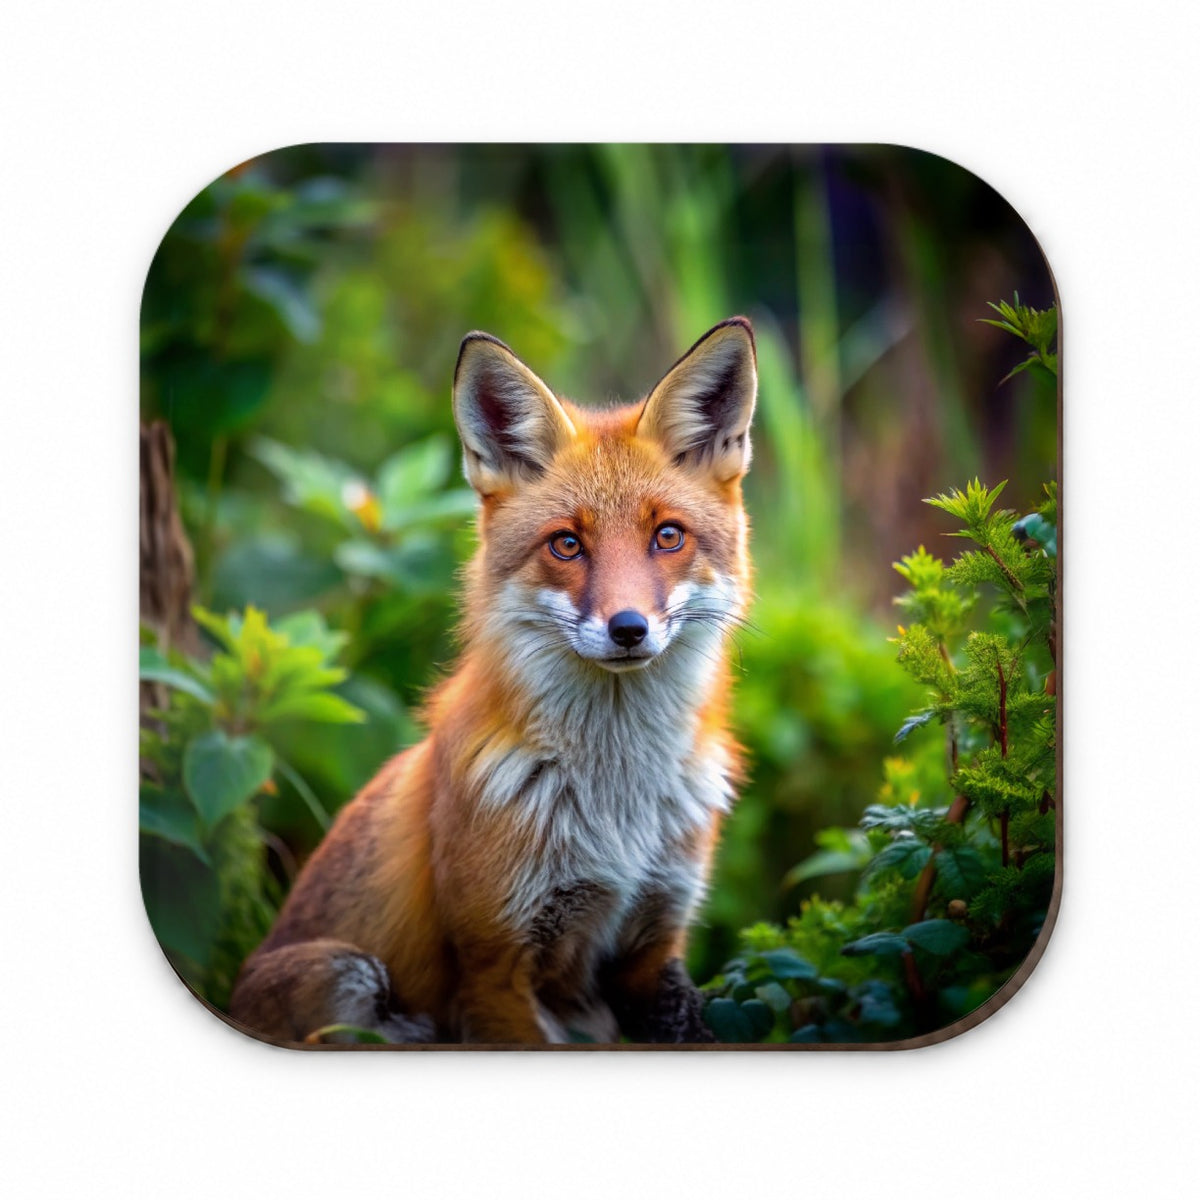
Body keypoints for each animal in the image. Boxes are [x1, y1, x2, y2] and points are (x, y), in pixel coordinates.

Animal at [228, 316, 758, 1045]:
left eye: (668, 536)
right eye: (567, 544)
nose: (628, 628)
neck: (616, 807)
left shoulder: (655, 946)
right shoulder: (493, 966)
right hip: (347, 973)